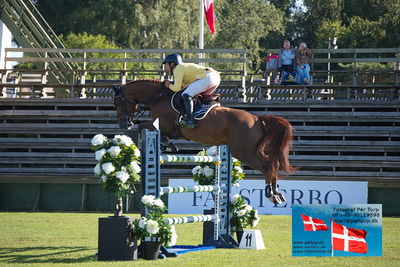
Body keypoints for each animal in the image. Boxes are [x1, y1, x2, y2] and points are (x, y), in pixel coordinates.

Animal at [112, 78, 296, 204]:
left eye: (118, 102)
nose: (123, 124)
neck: (157, 96)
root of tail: (257, 119)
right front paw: (168, 145)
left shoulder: (162, 123)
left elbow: (142, 126)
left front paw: (162, 144)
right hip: (251, 150)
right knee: (273, 163)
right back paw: (277, 192)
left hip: (244, 152)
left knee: (267, 166)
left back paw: (271, 194)